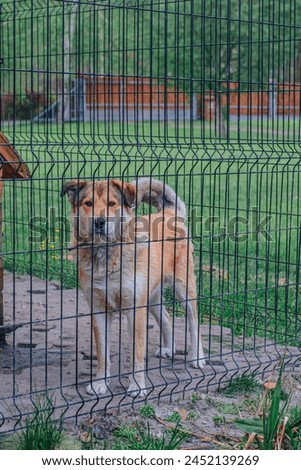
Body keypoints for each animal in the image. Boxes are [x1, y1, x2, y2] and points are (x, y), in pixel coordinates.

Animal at [62, 179, 205, 396]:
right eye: (88, 203)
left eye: (112, 204)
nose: (99, 222)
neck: (106, 255)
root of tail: (169, 213)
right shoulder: (98, 309)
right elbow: (102, 354)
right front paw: (100, 384)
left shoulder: (135, 310)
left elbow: (136, 353)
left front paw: (137, 386)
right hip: (151, 297)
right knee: (166, 317)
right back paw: (169, 349)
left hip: (184, 290)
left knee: (194, 322)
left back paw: (197, 357)